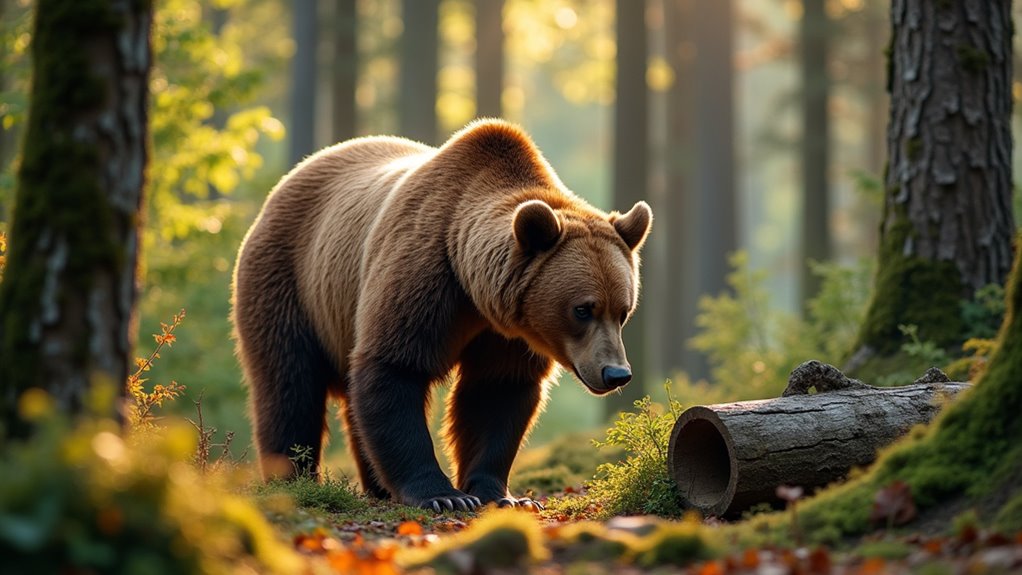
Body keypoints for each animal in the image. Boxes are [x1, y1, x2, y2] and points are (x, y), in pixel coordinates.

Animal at [231, 119, 652, 512]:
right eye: (582, 309)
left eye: (623, 310)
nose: (616, 373)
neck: (473, 291)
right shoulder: (424, 273)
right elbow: (395, 368)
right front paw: (443, 496)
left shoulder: (506, 333)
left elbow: (496, 392)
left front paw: (502, 495)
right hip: (290, 283)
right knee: (289, 384)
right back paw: (292, 478)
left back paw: (377, 487)